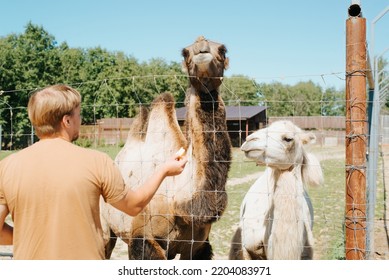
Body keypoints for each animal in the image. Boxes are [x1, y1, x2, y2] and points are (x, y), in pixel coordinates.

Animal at [100, 36, 230, 260]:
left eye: (223, 50)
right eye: (185, 53)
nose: (202, 50)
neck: (180, 197)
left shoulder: (197, 246)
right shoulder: (142, 238)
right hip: (105, 225)